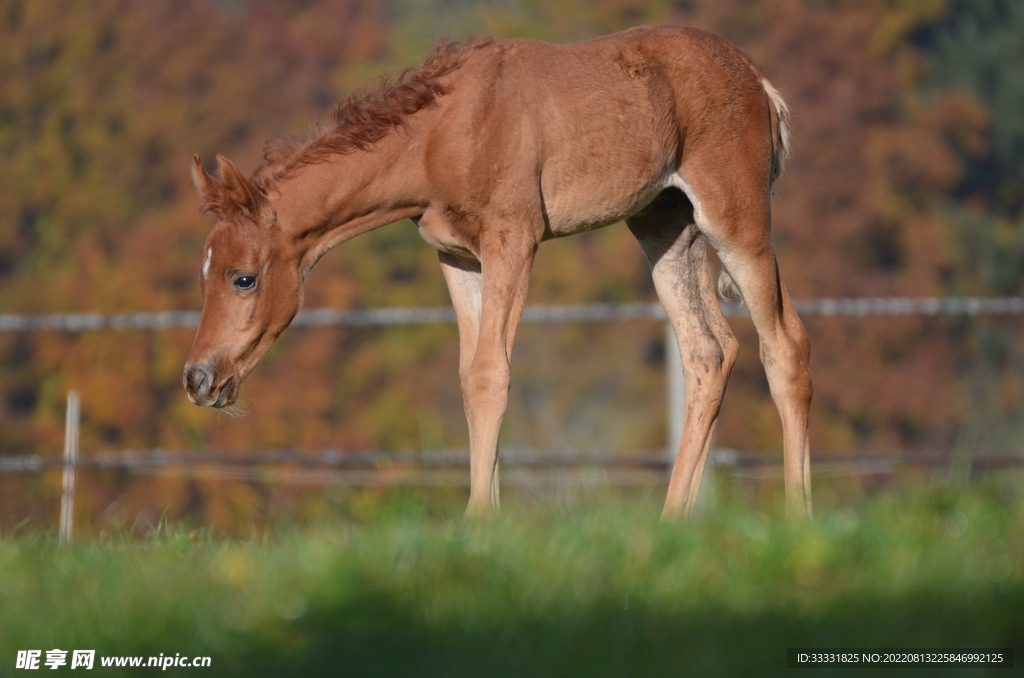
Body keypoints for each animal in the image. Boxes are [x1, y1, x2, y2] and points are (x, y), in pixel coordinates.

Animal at [180, 23, 811, 518]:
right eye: (203, 273)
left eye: (243, 277)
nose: (197, 379)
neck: (442, 134)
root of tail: (757, 79)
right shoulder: (459, 257)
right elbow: (471, 375)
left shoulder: (514, 238)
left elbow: (491, 373)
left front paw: (477, 523)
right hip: (666, 226)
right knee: (709, 351)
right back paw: (669, 523)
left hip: (734, 217)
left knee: (785, 343)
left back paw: (797, 519)